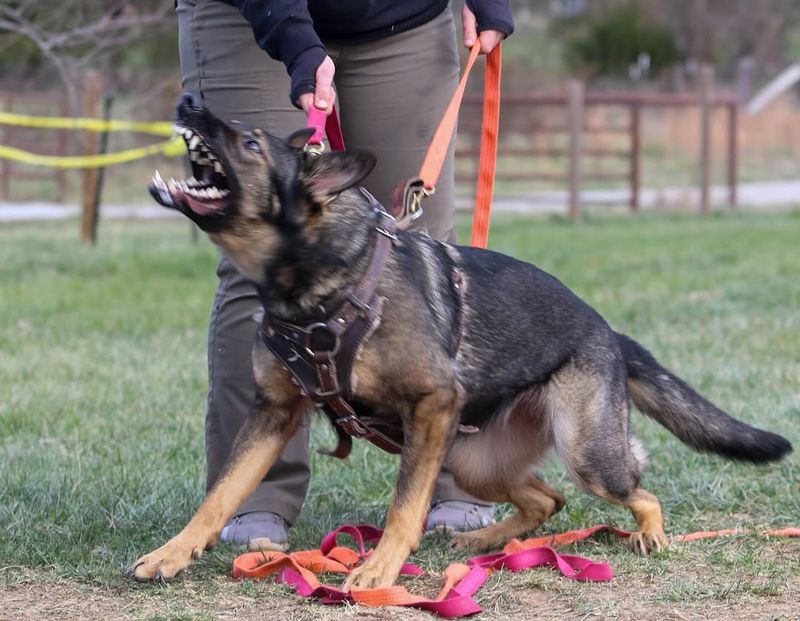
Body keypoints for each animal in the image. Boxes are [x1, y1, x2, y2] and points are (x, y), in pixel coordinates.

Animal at [128, 97, 792, 588]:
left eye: (251, 144)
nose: (189, 101)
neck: (322, 283)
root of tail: (608, 331)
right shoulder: (273, 415)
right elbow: (219, 496)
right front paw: (173, 553)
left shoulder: (431, 407)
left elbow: (404, 506)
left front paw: (379, 571)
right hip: (473, 459)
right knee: (546, 500)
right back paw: (484, 540)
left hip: (583, 454)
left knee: (638, 490)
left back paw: (649, 535)